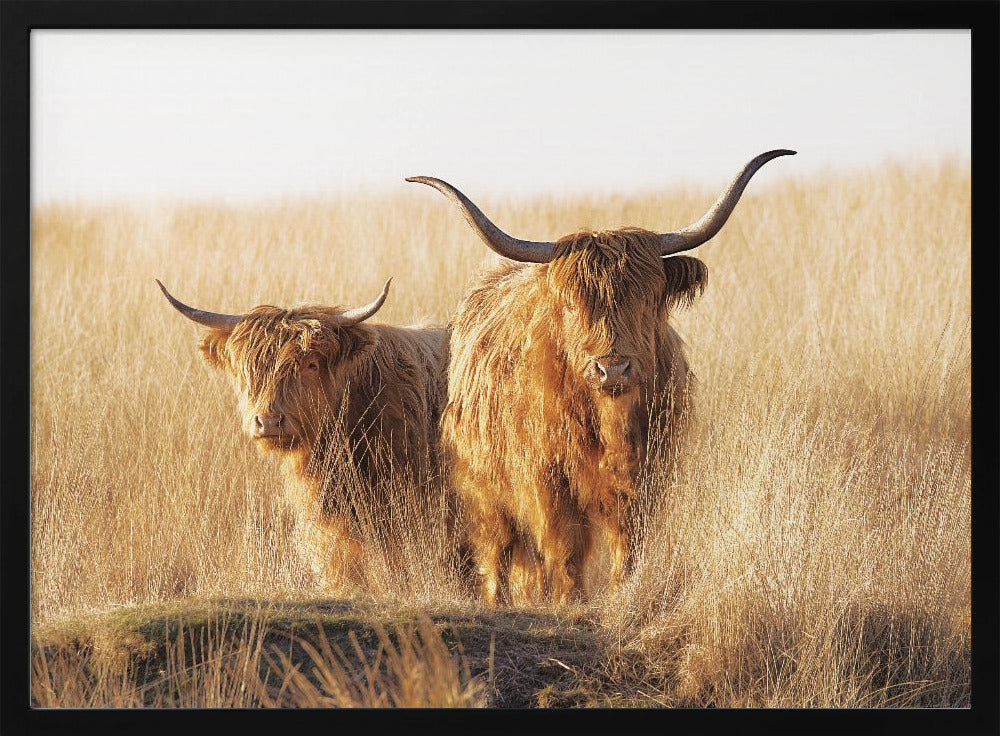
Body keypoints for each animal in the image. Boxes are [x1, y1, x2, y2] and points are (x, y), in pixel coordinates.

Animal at [408, 149, 794, 605]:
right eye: (573, 305)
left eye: (647, 299)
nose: (613, 368)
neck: (609, 423)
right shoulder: (546, 480)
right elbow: (564, 544)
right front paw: (570, 599)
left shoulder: (645, 475)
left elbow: (627, 540)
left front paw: (620, 591)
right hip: (483, 486)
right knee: (497, 548)